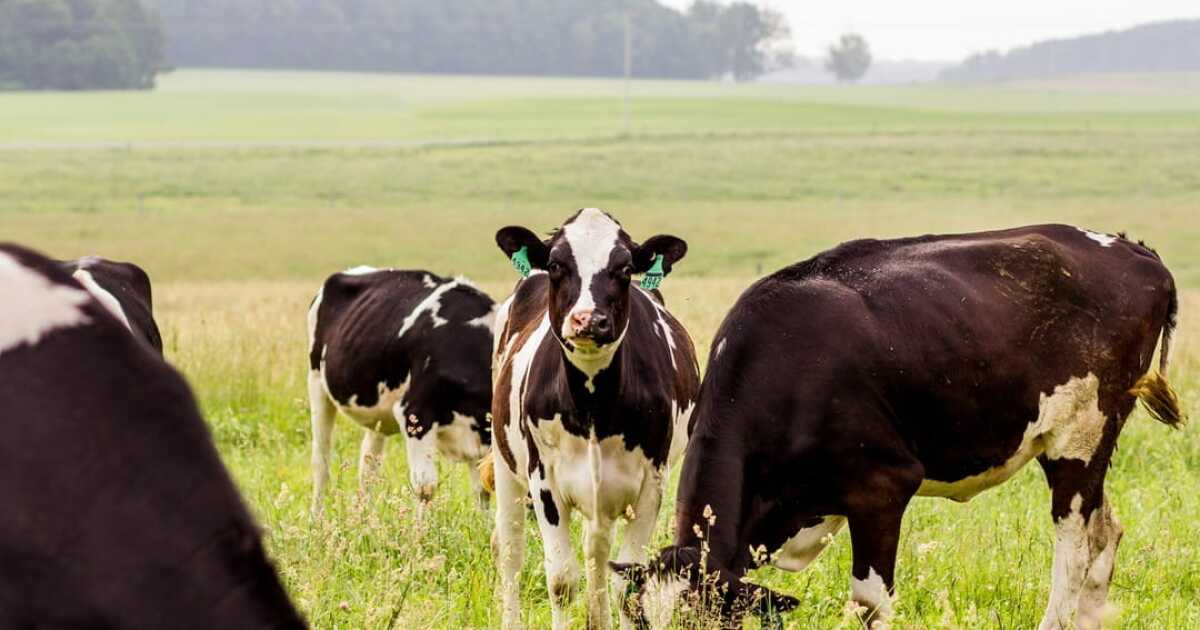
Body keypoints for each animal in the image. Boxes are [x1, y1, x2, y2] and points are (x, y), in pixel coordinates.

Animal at [307, 266, 495, 514]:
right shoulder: (416, 413)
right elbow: (425, 487)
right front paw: (421, 526)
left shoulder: (479, 436)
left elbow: (482, 491)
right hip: (317, 383)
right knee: (321, 461)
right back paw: (316, 517)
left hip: (376, 413)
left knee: (368, 467)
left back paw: (367, 516)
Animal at [487, 208, 701, 630]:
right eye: (557, 265)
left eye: (625, 268)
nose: (588, 320)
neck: (592, 407)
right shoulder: (544, 481)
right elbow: (561, 581)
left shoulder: (651, 483)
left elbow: (627, 585)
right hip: (506, 465)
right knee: (510, 549)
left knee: (597, 552)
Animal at [612, 224, 1184, 630]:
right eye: (639, 622)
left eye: (703, 621)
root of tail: (1132, 249)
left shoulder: (882, 488)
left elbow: (871, 603)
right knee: (1105, 533)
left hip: (1081, 435)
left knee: (1075, 543)